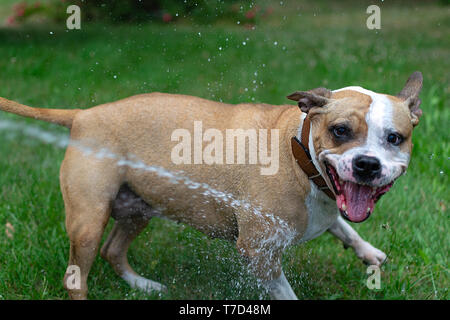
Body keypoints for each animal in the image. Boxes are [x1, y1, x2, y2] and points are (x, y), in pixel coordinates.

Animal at [0, 71, 422, 298]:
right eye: (340, 131)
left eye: (394, 138)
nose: (367, 164)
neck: (299, 155)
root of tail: (83, 115)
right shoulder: (258, 252)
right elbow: (286, 291)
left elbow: (343, 226)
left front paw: (368, 252)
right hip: (88, 220)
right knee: (78, 276)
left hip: (138, 208)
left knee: (113, 250)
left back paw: (145, 286)